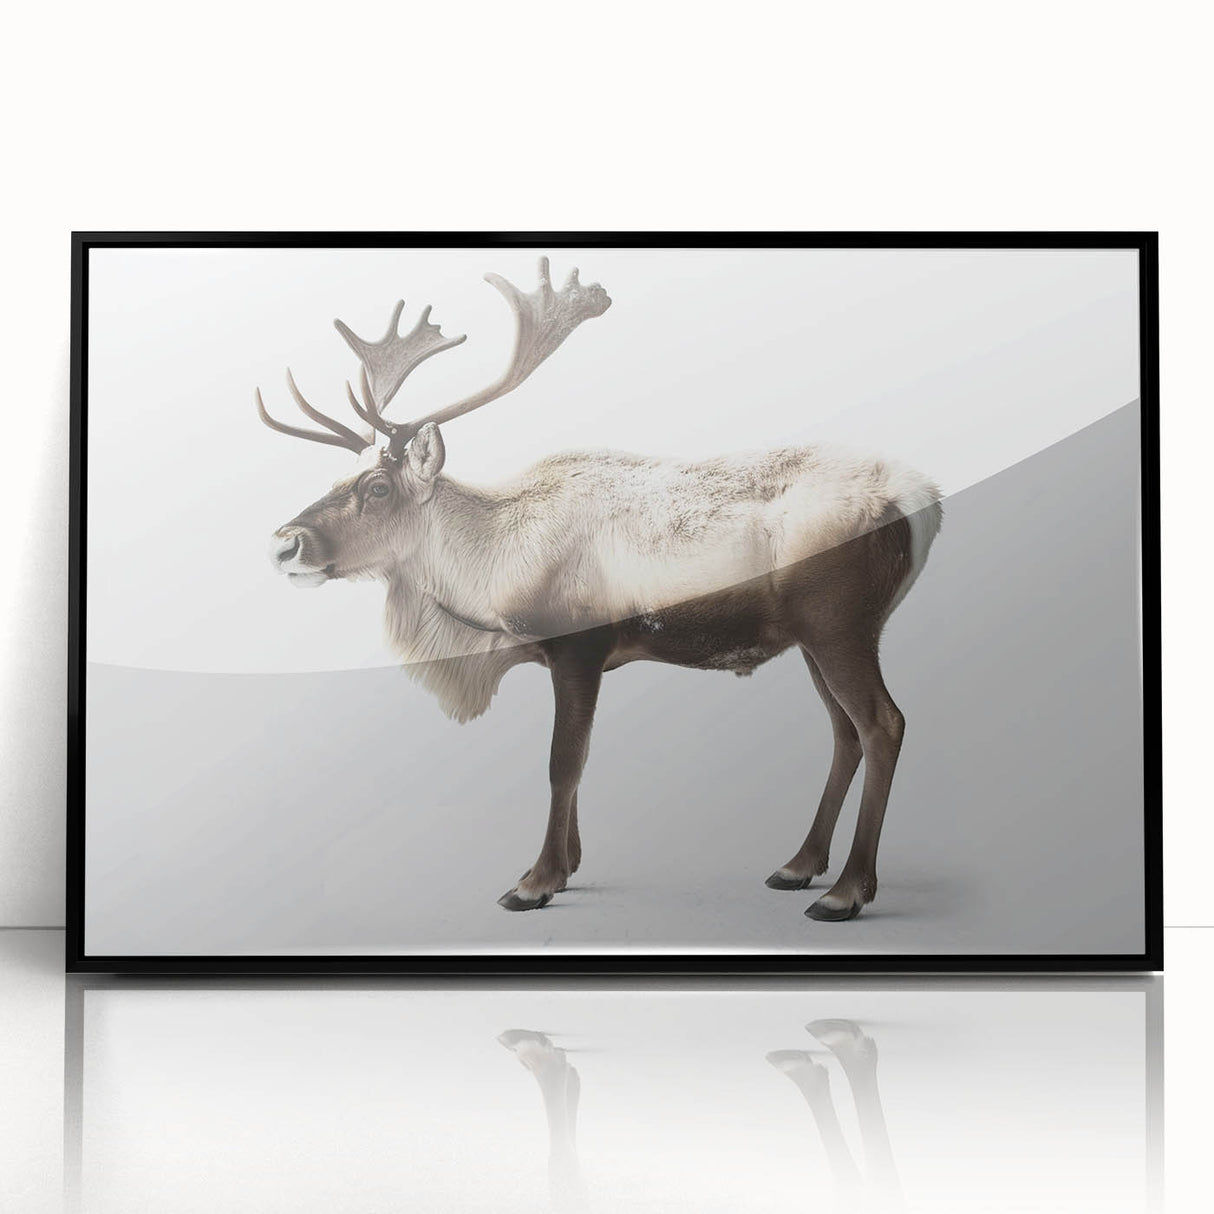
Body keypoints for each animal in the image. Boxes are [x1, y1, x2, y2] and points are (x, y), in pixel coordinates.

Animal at [258, 256, 942, 920]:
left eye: (377, 486)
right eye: (338, 478)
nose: (283, 543)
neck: (491, 571)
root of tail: (925, 503)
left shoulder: (578, 645)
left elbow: (563, 761)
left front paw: (534, 881)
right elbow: (578, 764)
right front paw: (570, 865)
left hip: (839, 624)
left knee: (883, 723)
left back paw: (846, 890)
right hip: (813, 638)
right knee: (844, 732)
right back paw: (798, 865)